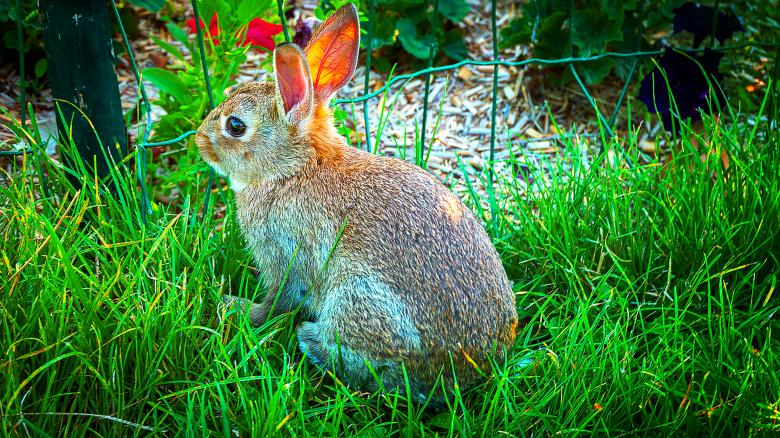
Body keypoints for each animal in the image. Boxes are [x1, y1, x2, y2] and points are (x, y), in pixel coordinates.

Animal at [195, 4, 518, 404]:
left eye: (236, 126)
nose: (199, 140)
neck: (294, 169)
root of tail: (468, 370)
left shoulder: (286, 255)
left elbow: (278, 301)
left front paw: (236, 309)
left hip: (358, 299)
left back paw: (310, 341)